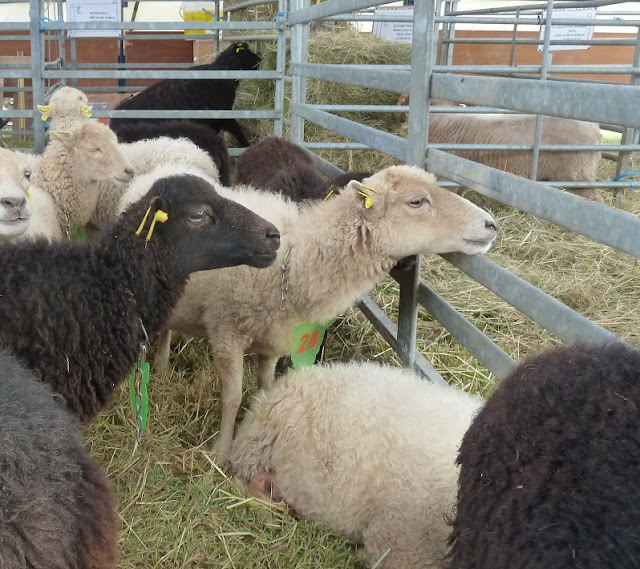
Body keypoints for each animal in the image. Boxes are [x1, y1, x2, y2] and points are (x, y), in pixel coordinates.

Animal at [110, 42, 261, 147]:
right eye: (247, 52)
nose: (260, 60)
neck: (222, 72)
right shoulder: (223, 114)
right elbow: (237, 131)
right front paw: (247, 146)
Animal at [153, 165, 498, 464]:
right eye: (416, 201)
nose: (491, 224)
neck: (292, 262)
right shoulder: (226, 331)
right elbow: (232, 396)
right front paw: (221, 452)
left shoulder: (272, 341)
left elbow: (264, 390)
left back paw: (160, 367)